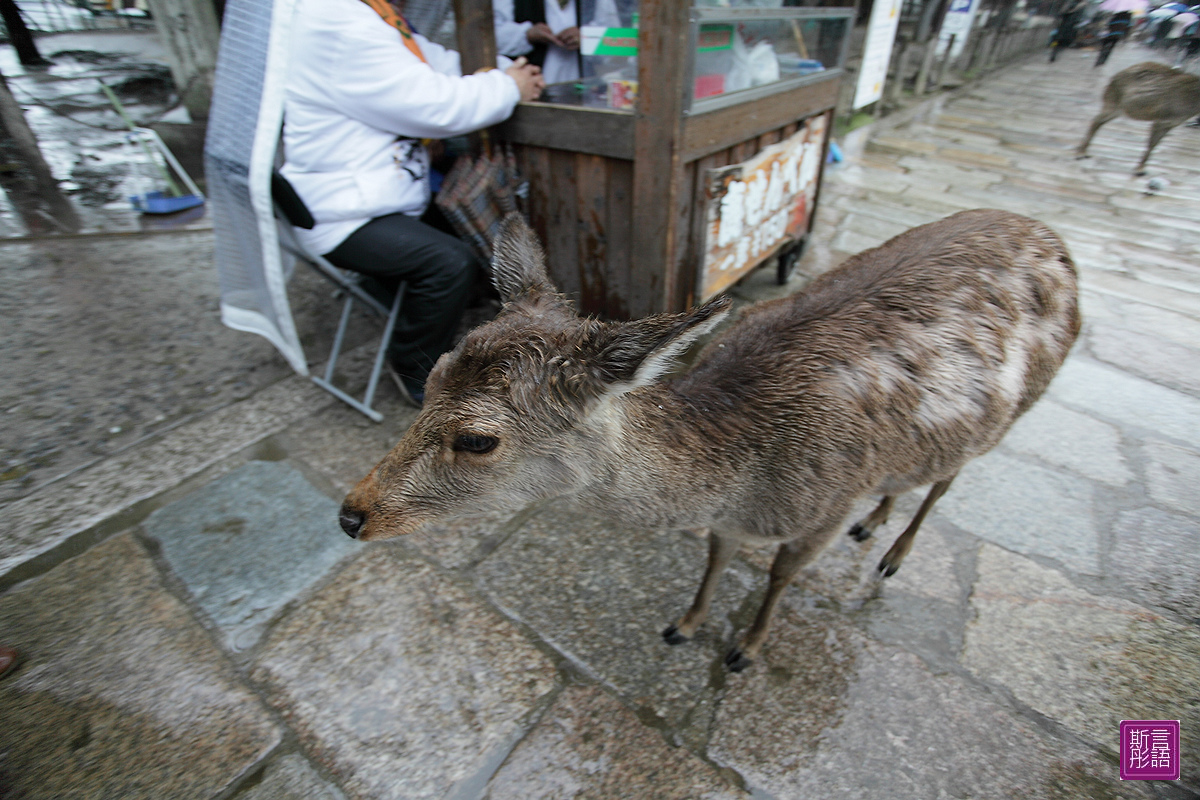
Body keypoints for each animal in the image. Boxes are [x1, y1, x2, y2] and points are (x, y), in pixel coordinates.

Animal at [336, 209, 1080, 671]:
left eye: (477, 439)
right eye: (429, 376)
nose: (352, 514)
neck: (746, 472)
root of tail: (1054, 237)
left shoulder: (826, 504)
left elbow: (781, 572)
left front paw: (746, 648)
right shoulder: (735, 518)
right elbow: (719, 554)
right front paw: (684, 624)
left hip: (1015, 409)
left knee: (950, 479)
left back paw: (893, 555)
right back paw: (877, 522)